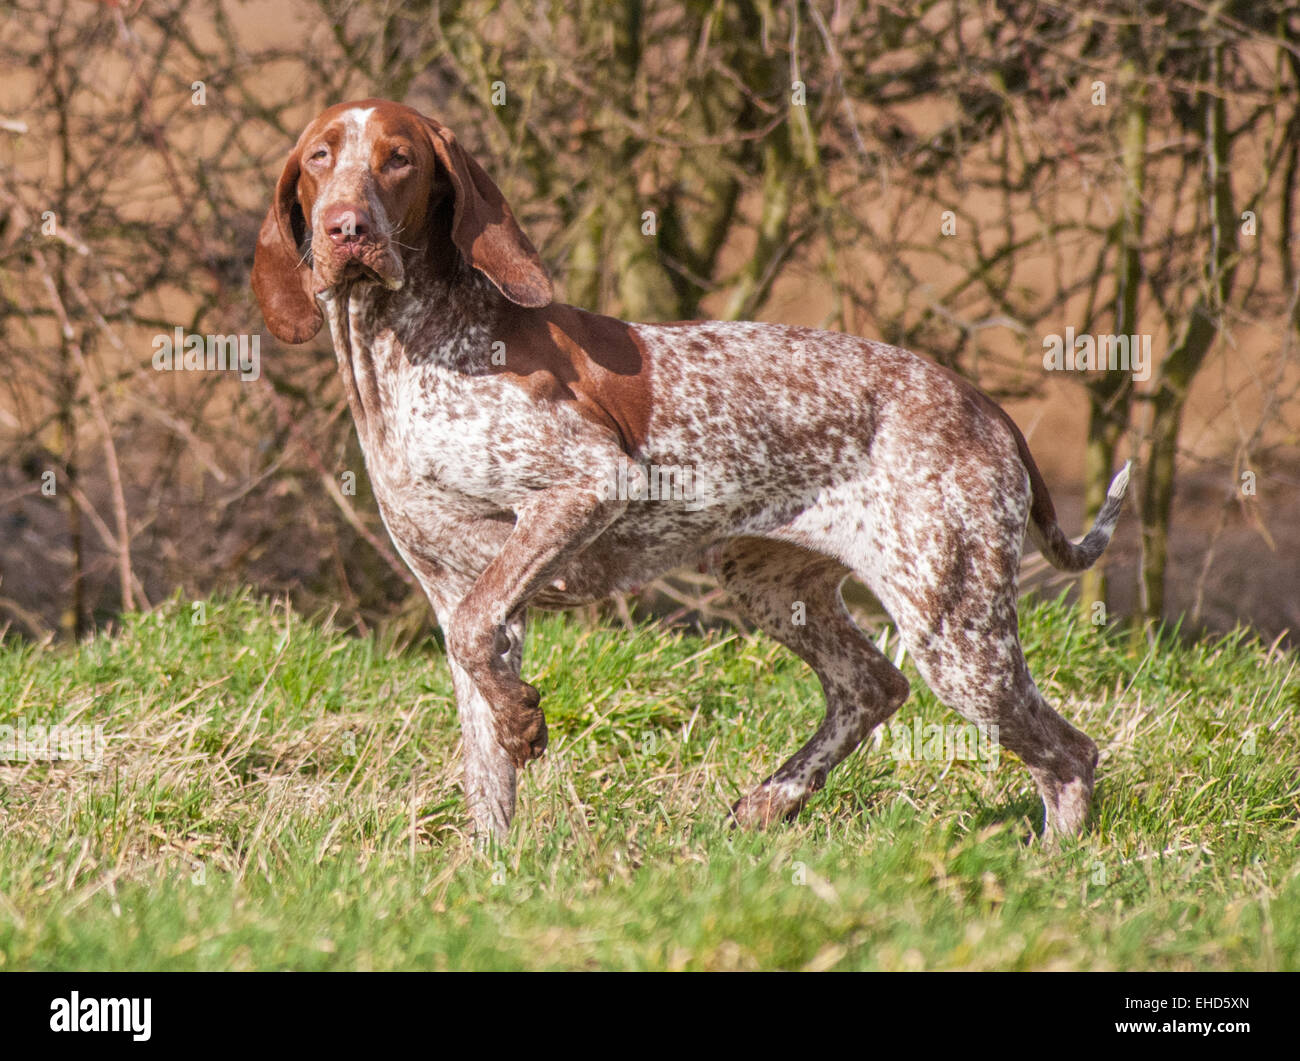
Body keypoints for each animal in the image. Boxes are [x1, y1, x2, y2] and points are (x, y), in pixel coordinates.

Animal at [250, 99, 1128, 847]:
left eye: (398, 159)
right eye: (321, 157)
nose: (345, 228)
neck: (403, 351)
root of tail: (984, 405)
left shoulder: (585, 488)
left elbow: (480, 652)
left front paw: (528, 723)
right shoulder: (457, 589)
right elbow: (484, 754)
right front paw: (493, 870)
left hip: (957, 631)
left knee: (1068, 754)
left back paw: (1053, 865)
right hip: (772, 584)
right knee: (873, 684)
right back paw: (773, 797)